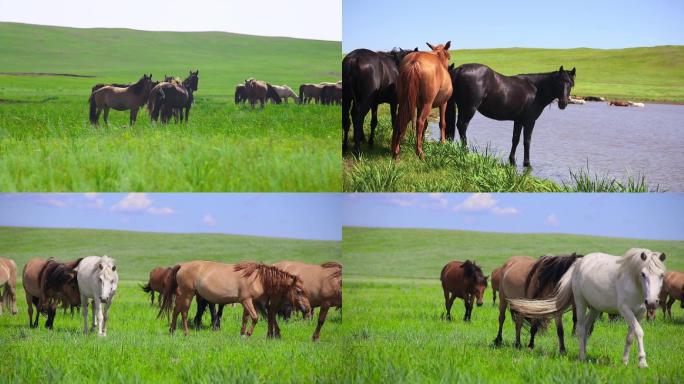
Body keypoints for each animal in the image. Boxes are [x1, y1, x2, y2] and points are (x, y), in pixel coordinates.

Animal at [158, 260, 310, 338]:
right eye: (299, 291)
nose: (308, 308)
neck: (257, 278)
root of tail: (182, 265)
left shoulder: (248, 302)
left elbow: (246, 318)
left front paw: (242, 334)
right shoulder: (247, 301)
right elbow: (255, 318)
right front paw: (248, 334)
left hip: (184, 295)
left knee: (176, 311)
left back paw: (172, 331)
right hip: (187, 294)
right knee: (183, 312)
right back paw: (186, 333)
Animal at [446, 63, 576, 167]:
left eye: (570, 84)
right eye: (559, 83)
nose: (563, 103)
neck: (535, 89)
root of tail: (461, 69)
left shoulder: (518, 120)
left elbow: (515, 139)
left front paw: (512, 161)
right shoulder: (529, 121)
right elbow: (527, 141)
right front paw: (527, 163)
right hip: (469, 108)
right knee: (462, 126)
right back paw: (465, 152)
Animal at [512, 248, 668, 368]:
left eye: (662, 275)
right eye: (643, 274)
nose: (652, 302)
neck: (633, 283)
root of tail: (579, 262)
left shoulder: (639, 313)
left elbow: (631, 336)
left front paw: (625, 361)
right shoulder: (625, 310)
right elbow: (639, 332)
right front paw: (642, 362)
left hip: (594, 308)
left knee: (586, 327)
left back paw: (584, 351)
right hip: (580, 304)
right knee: (581, 328)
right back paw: (582, 357)